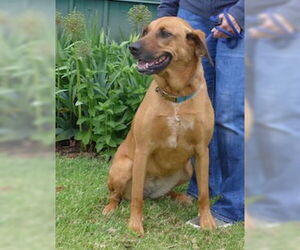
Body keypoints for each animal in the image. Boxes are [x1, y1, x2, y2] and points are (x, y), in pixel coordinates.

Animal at [102, 17, 216, 234]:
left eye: (165, 33)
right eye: (145, 31)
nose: (132, 47)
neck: (176, 97)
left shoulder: (202, 151)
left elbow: (204, 193)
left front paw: (206, 221)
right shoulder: (143, 150)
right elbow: (136, 198)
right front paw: (135, 225)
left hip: (187, 169)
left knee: (166, 193)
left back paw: (179, 197)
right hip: (125, 166)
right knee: (119, 195)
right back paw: (110, 207)